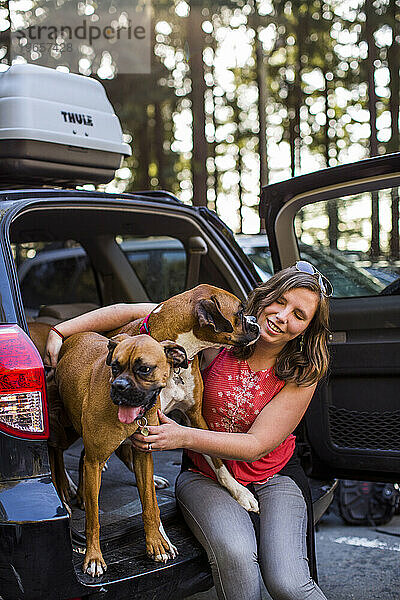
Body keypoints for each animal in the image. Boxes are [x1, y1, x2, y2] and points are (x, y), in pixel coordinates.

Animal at [52, 332, 188, 576]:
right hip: (62, 426)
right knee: (54, 452)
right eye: (115, 367)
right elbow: (93, 520)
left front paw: (156, 544)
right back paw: (66, 494)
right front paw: (93, 558)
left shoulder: (143, 456)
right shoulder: (95, 461)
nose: (119, 386)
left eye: (144, 369)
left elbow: (149, 504)